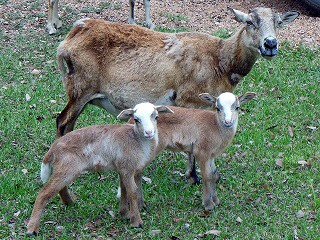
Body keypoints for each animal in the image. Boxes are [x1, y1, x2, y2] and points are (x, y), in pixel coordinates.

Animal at [26, 102, 174, 235]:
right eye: (136, 119)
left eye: (156, 116)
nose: (149, 132)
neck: (137, 140)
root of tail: (53, 148)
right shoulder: (127, 167)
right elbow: (132, 192)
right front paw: (136, 222)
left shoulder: (122, 168)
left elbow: (124, 190)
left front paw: (124, 214)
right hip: (67, 168)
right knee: (44, 193)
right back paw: (32, 229)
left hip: (64, 168)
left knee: (57, 188)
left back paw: (70, 203)